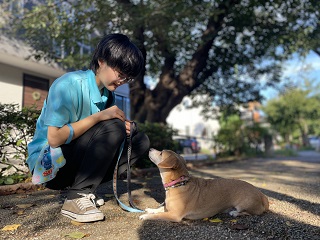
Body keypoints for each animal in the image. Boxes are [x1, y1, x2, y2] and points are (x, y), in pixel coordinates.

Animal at [139, 149, 268, 222]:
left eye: (161, 153)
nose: (150, 148)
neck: (178, 183)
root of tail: (261, 194)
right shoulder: (169, 209)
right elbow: (159, 209)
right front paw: (150, 210)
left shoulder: (174, 215)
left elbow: (159, 214)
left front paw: (146, 216)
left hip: (244, 204)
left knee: (250, 213)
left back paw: (235, 213)